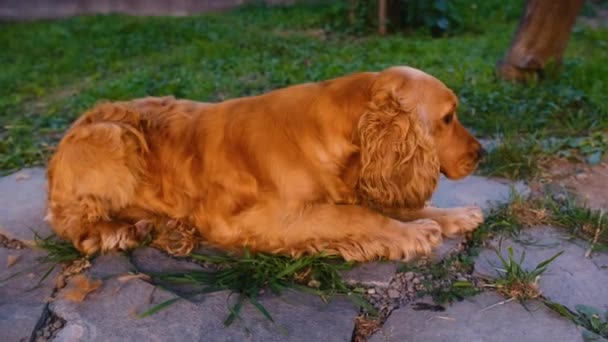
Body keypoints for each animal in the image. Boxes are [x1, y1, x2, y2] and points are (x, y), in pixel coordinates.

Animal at [46, 65, 484, 260]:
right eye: (449, 118)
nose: (481, 153)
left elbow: (389, 205)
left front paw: (453, 215)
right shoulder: (259, 218)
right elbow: (354, 216)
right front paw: (414, 233)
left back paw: (167, 230)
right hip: (116, 137)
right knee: (76, 223)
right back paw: (118, 232)